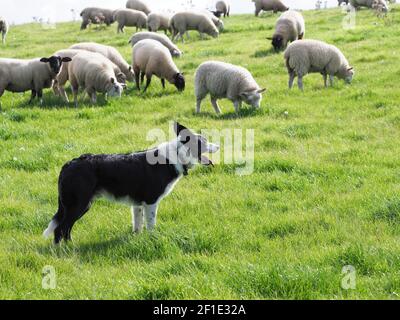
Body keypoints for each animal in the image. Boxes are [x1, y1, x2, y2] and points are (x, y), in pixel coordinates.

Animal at [43, 122, 219, 242]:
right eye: (203, 142)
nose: (218, 146)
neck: (175, 156)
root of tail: (68, 164)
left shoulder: (137, 204)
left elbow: (137, 224)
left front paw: (137, 238)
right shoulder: (151, 202)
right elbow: (151, 224)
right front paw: (153, 239)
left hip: (78, 205)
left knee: (65, 229)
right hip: (79, 204)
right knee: (60, 229)